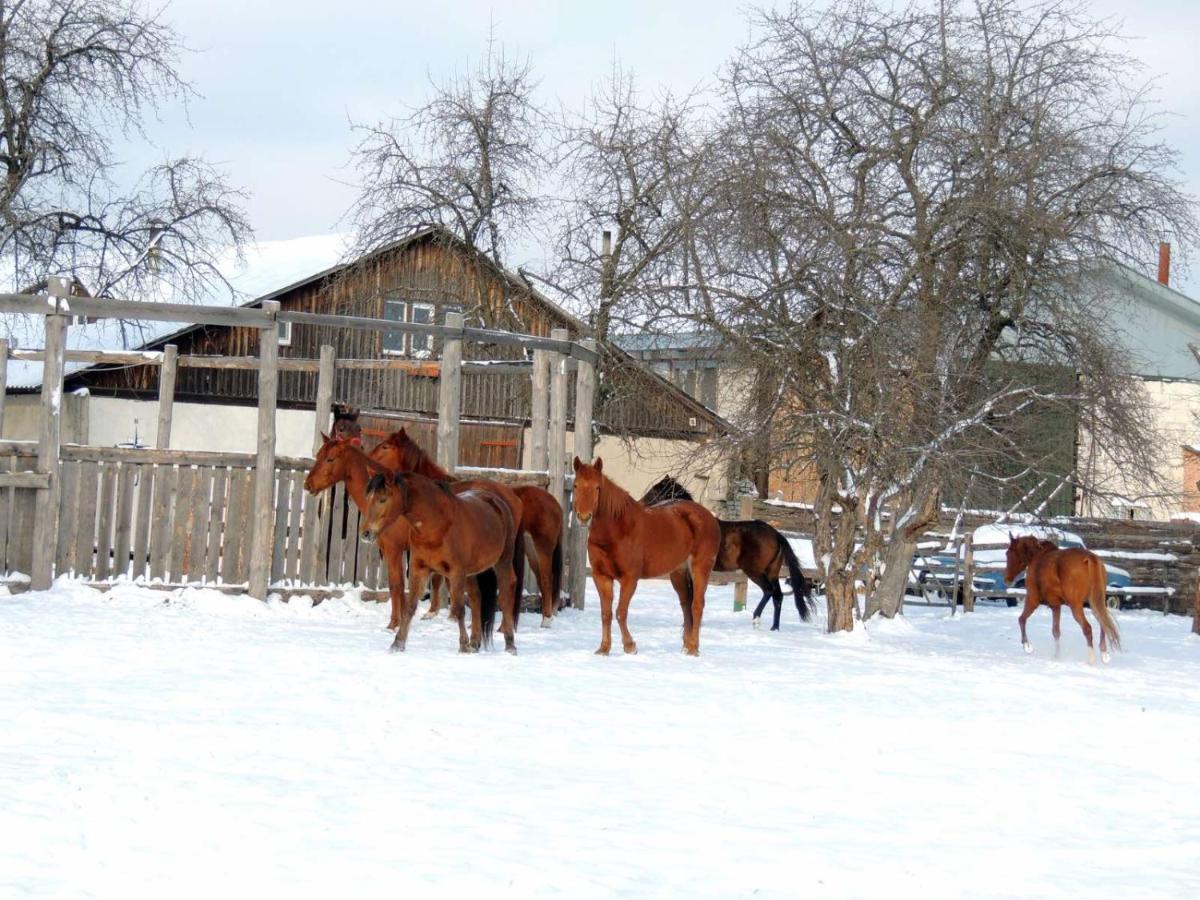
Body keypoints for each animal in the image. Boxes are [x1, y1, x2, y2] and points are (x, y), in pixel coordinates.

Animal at [360, 472, 520, 657]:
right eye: (368, 498)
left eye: (383, 499)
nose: (365, 533)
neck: (437, 525)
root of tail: (498, 500)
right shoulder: (418, 569)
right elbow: (410, 606)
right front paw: (397, 644)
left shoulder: (456, 572)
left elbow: (458, 609)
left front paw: (463, 645)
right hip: (471, 572)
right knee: (476, 598)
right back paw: (475, 642)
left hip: (502, 562)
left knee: (506, 594)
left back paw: (510, 644)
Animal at [372, 427, 564, 628]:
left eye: (385, 447)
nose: (368, 457)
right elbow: (442, 578)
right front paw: (440, 612)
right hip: (528, 549)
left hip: (541, 547)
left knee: (544, 579)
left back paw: (542, 620)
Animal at [573, 458, 720, 657]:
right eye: (575, 485)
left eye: (597, 488)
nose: (583, 517)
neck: (616, 530)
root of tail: (709, 517)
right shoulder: (601, 577)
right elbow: (606, 613)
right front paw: (604, 648)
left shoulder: (629, 578)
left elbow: (620, 612)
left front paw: (630, 646)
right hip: (678, 574)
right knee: (685, 605)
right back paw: (686, 645)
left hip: (701, 569)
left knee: (697, 606)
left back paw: (693, 648)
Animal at [638, 475, 816, 628]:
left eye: (655, 490)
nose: (640, 504)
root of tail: (776, 535)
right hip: (772, 571)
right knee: (778, 596)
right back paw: (774, 628)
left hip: (754, 571)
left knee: (769, 591)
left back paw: (756, 619)